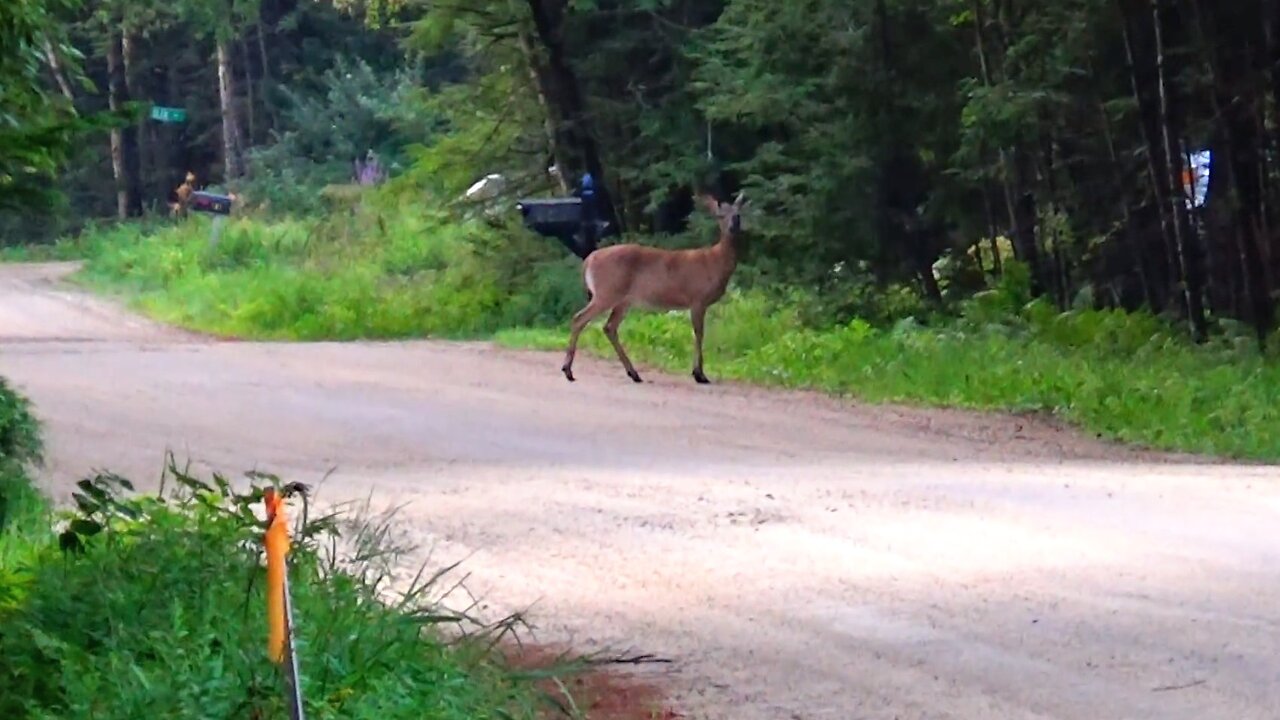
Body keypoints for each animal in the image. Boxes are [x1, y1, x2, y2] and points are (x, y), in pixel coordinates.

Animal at [561, 190, 748, 385]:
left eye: (738, 214)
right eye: (720, 215)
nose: (733, 226)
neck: (715, 262)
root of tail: (588, 260)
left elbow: (698, 334)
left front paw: (698, 372)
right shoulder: (697, 298)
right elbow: (699, 334)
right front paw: (699, 374)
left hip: (623, 300)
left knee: (609, 327)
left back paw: (633, 373)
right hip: (607, 292)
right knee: (579, 318)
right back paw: (568, 370)